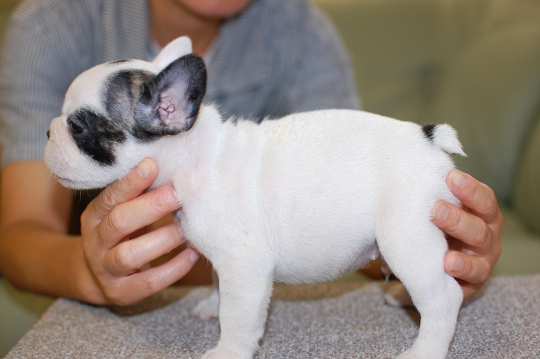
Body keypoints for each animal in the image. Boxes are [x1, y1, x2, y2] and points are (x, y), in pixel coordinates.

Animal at [45, 37, 464, 359]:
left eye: (78, 127)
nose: (48, 132)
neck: (193, 157)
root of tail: (428, 138)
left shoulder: (244, 265)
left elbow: (238, 316)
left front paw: (227, 351)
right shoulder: (225, 262)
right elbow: (218, 286)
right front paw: (211, 305)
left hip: (405, 236)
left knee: (445, 296)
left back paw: (424, 350)